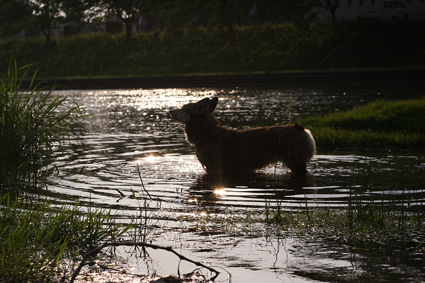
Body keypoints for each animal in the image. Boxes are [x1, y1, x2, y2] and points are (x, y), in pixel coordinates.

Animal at [170, 98, 314, 176]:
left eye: (182, 109)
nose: (170, 110)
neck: (206, 132)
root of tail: (298, 127)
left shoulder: (213, 169)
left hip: (295, 163)